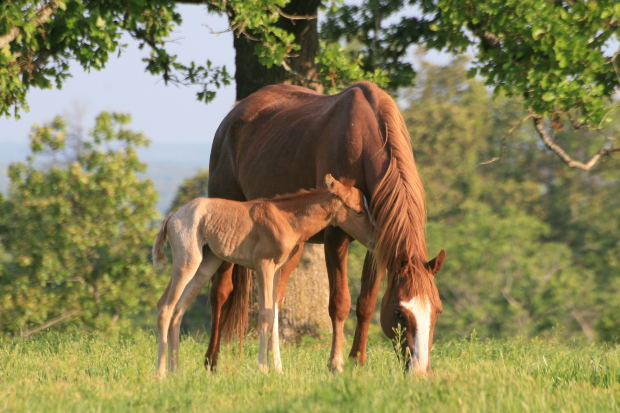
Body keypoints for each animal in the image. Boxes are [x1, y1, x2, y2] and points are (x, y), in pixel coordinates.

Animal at [153, 172, 376, 374]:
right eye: (358, 211)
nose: (373, 239)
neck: (286, 217)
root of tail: (171, 217)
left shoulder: (276, 270)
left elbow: (275, 312)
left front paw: (278, 369)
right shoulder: (263, 266)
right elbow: (266, 314)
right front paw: (263, 368)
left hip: (206, 264)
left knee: (179, 309)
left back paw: (176, 370)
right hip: (187, 261)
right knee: (165, 306)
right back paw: (161, 373)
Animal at [208, 81, 446, 374]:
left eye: (437, 310)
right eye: (400, 313)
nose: (420, 370)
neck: (363, 137)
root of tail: (233, 116)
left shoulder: (377, 244)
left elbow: (366, 303)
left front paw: (357, 361)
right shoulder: (336, 238)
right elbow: (340, 302)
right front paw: (336, 363)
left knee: (274, 301)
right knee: (220, 292)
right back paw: (211, 361)